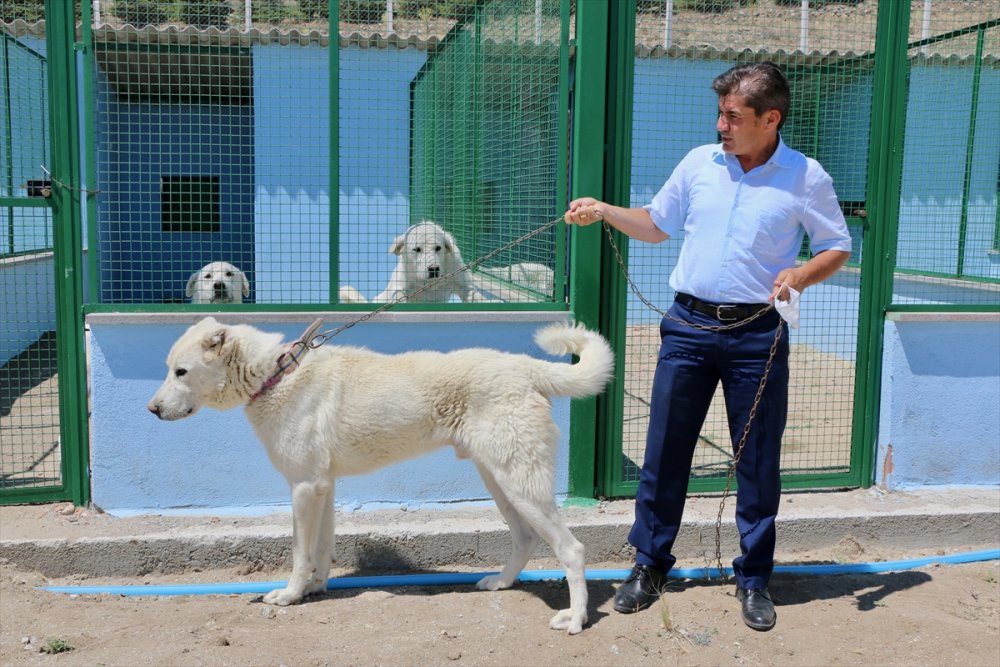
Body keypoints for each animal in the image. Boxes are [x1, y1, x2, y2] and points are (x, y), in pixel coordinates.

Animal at [147, 317, 614, 634]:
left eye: (181, 372)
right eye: (169, 368)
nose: (151, 410)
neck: (276, 374)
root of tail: (525, 367)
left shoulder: (303, 488)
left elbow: (299, 552)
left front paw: (290, 596)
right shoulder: (322, 488)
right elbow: (320, 550)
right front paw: (316, 588)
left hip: (520, 484)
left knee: (572, 549)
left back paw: (576, 618)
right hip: (500, 481)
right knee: (525, 538)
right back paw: (501, 582)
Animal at [339, 221, 486, 304]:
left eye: (438, 248)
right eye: (417, 249)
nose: (433, 269)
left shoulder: (461, 282)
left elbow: (475, 294)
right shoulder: (400, 285)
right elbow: (399, 295)